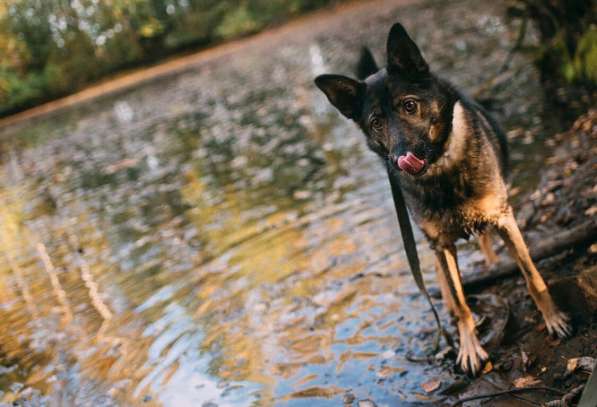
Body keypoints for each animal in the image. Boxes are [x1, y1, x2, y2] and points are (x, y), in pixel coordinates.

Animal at [314, 21, 572, 372]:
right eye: (376, 122)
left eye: (409, 105)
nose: (400, 159)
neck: (441, 171)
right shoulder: (441, 244)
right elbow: (461, 301)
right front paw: (469, 346)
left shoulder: (504, 219)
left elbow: (533, 277)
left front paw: (553, 318)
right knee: (443, 276)